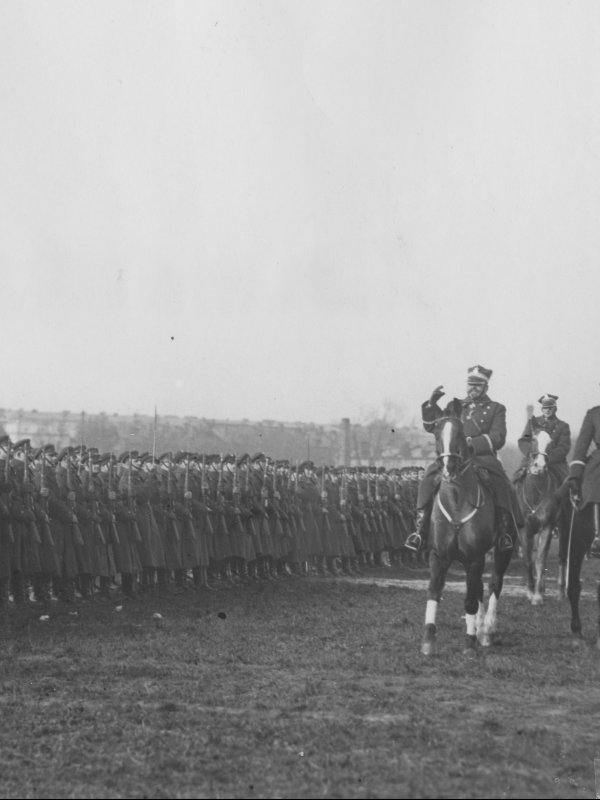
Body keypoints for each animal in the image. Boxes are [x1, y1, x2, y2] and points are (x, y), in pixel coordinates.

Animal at [420, 400, 512, 656]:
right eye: (436, 433)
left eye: (460, 433)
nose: (448, 467)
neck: (456, 502)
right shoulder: (438, 555)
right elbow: (434, 591)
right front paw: (428, 640)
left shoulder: (474, 557)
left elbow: (470, 599)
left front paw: (470, 643)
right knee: (479, 587)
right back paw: (480, 629)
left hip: (503, 550)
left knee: (494, 584)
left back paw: (487, 630)